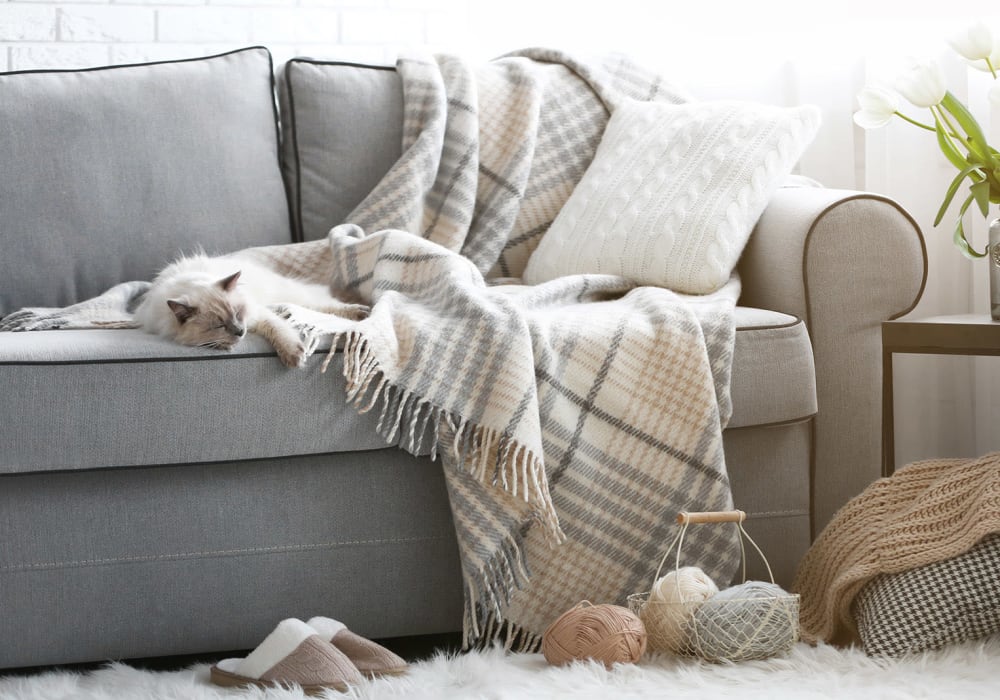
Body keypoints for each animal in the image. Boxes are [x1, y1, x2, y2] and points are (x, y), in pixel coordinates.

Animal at [135, 253, 366, 372]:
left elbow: (280, 331)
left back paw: (360, 311)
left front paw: (294, 357)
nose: (240, 331)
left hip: (296, 296)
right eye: (219, 325)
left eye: (238, 314)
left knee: (326, 304)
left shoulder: (258, 315)